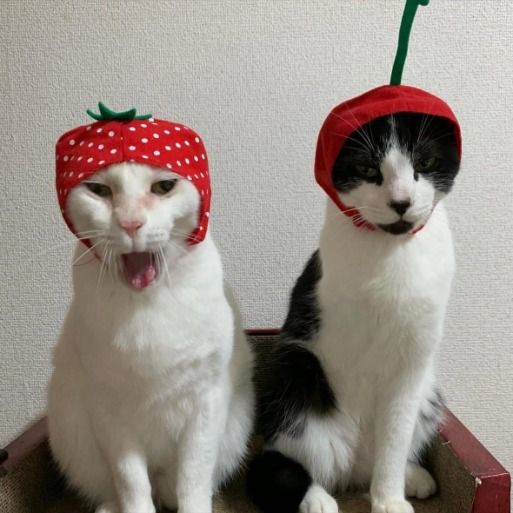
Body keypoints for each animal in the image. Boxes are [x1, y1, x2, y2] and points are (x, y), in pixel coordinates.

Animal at [49, 161, 253, 512]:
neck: (146, 304)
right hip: (71, 431)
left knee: (175, 488)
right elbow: (132, 484)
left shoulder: (205, 402)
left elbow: (192, 480)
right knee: (118, 491)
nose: (131, 224)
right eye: (99, 190)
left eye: (164, 187)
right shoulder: (109, 413)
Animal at [248, 112, 460, 512]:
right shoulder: (331, 326)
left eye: (425, 162)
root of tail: (354, 468)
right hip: (296, 373)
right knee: (287, 461)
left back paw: (410, 476)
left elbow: (395, 435)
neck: (391, 250)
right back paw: (317, 498)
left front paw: (389, 499)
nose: (401, 201)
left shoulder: (414, 358)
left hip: (429, 394)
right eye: (366, 168)